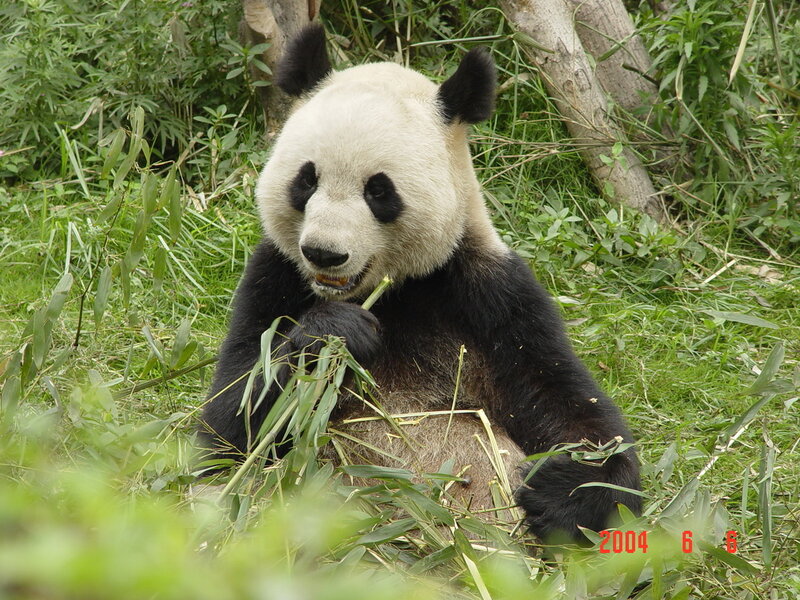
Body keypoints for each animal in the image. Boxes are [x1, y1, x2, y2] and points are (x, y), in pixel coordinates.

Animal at [200, 24, 641, 542]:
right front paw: (335, 336)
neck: (390, 292)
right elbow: (231, 425)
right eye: (306, 181)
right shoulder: (274, 277)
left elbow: (563, 399)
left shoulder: (487, 293)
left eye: (378, 191)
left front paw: (566, 492)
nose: (324, 253)